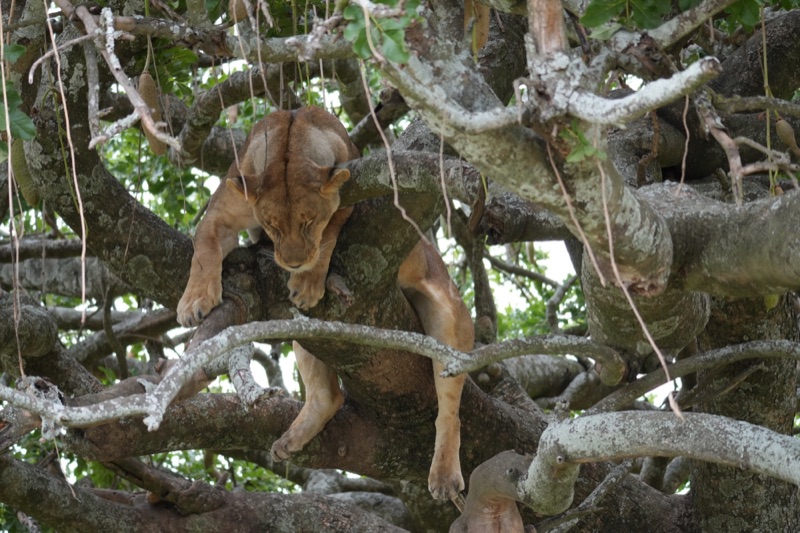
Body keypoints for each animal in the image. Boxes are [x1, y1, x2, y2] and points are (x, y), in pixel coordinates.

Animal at [177, 106, 474, 500]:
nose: (292, 262)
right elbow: (204, 244)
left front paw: (308, 281)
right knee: (328, 395)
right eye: (271, 225)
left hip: (449, 319)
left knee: (448, 408)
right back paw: (291, 438)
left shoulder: (350, 197)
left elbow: (330, 236)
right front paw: (193, 300)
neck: (290, 136)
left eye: (310, 221)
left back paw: (444, 476)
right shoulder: (223, 208)